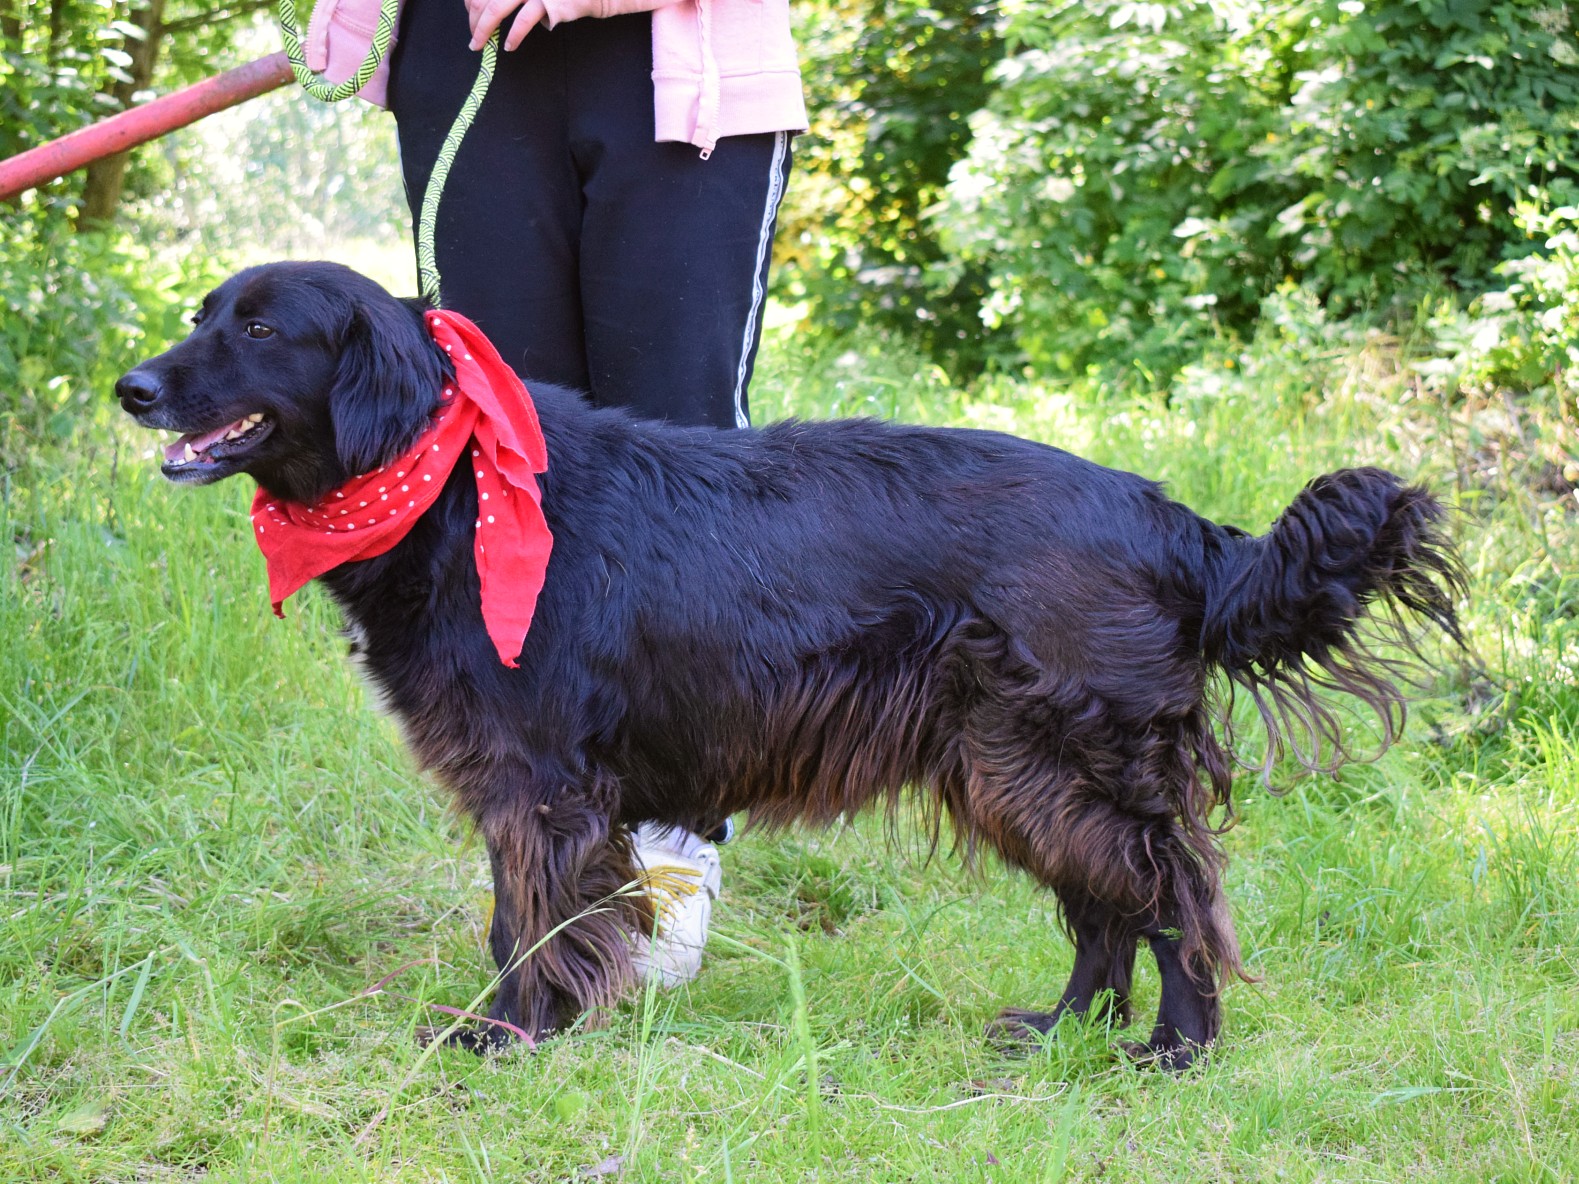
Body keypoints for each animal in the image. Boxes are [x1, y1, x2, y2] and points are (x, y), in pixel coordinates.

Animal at [116, 261, 1463, 1068]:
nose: (131, 387)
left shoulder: (538, 779)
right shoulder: (526, 783)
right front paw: (533, 1022)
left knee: (1169, 893)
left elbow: (533, 921)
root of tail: (1173, 518)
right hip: (1012, 766)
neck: (448, 474)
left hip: (1068, 756)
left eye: (261, 326)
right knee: (1107, 905)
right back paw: (1060, 1029)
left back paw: (1173, 1048)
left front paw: (511, 1034)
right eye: (200, 311)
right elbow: (522, 915)